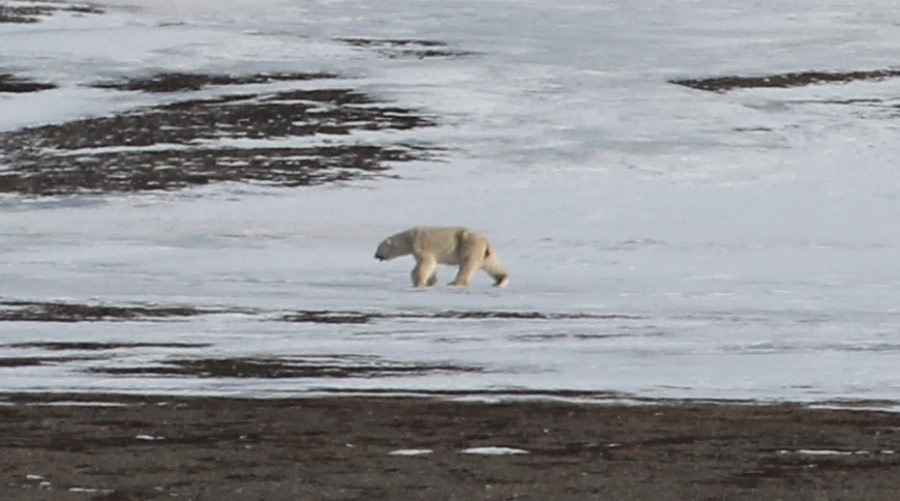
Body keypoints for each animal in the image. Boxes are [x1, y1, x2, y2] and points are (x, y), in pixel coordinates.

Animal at [372, 226, 506, 288]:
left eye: (378, 247)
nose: (375, 255)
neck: (409, 238)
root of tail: (486, 241)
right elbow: (430, 265)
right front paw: (431, 281)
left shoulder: (421, 245)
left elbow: (426, 264)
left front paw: (419, 282)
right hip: (485, 252)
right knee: (492, 265)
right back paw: (501, 280)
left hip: (469, 246)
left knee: (467, 265)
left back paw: (454, 282)